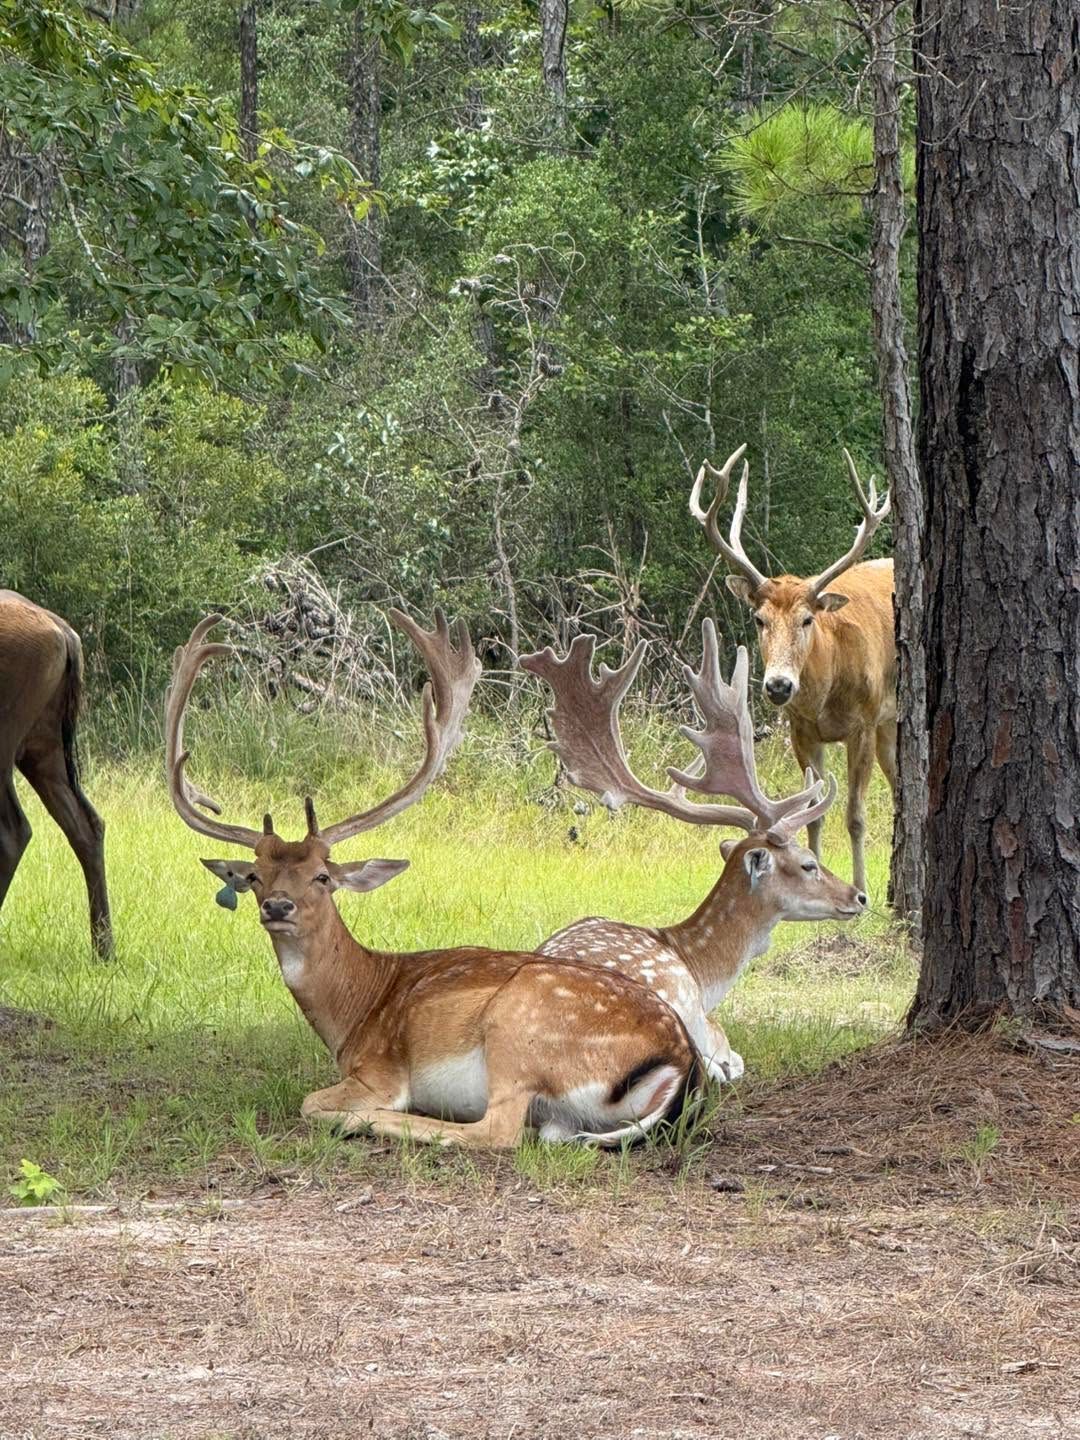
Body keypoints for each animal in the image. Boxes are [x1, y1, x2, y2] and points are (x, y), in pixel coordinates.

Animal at [165, 609, 701, 1149]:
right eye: (255, 875)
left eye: (323, 877)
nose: (277, 906)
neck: (354, 1012)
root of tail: (681, 1066)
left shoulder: (377, 1069)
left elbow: (311, 1100)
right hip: (560, 1107)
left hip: (518, 1028)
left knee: (498, 1131)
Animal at [520, 622, 866, 1083]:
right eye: (808, 864)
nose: (858, 896)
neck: (704, 973)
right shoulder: (699, 1014)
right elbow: (730, 1056)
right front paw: (728, 1063)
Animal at [689, 443, 895, 895]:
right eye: (759, 619)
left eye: (807, 619)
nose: (779, 685)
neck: (825, 695)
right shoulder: (802, 730)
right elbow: (814, 813)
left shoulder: (864, 721)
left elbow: (855, 815)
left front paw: (862, 890)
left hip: (887, 717)